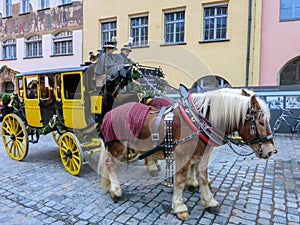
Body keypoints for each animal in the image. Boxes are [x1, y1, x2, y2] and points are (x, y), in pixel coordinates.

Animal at [98, 87, 274, 220]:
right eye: (261, 122)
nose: (271, 150)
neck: (199, 121)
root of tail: (109, 113)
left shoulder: (202, 155)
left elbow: (203, 178)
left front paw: (209, 201)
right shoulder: (183, 156)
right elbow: (180, 181)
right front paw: (180, 206)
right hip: (118, 146)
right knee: (109, 164)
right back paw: (116, 190)